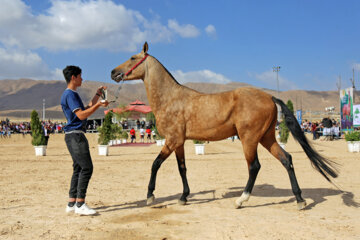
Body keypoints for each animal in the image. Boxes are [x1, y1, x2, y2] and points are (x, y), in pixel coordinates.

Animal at [110, 42, 338, 210]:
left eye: (133, 58)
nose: (113, 72)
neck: (171, 98)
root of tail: (269, 97)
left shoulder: (172, 140)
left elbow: (155, 164)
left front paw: (150, 196)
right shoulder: (179, 142)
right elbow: (182, 168)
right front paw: (183, 197)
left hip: (249, 139)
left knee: (254, 166)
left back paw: (241, 200)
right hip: (267, 138)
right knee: (287, 160)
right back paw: (300, 200)